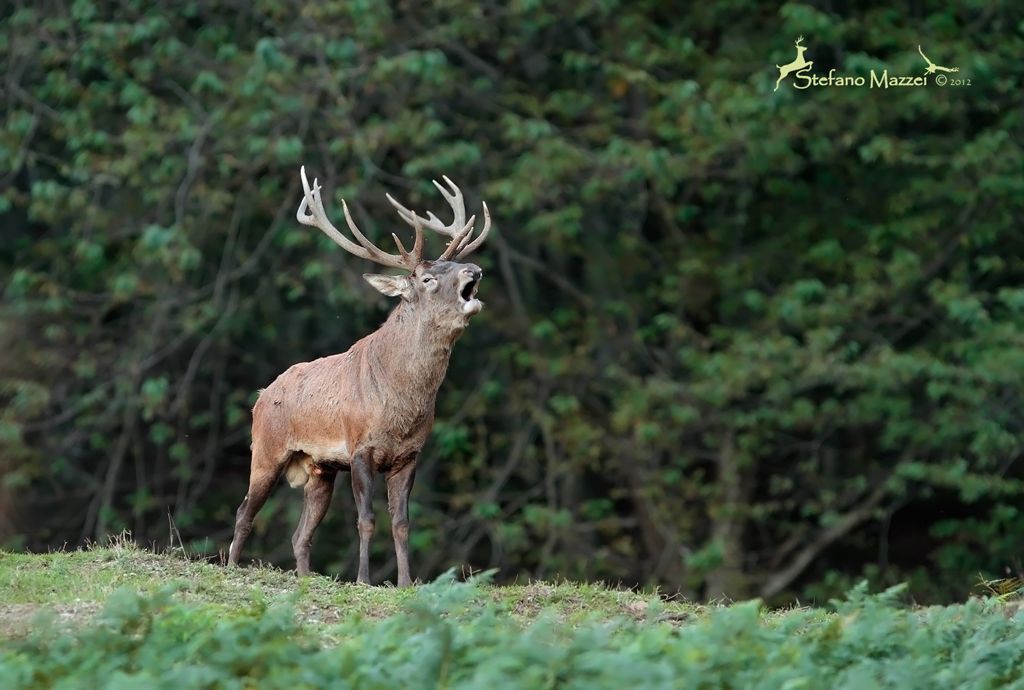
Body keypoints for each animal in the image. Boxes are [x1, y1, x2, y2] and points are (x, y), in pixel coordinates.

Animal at [229, 164, 491, 581]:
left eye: (453, 265)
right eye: (428, 278)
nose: (475, 270)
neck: (400, 406)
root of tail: (261, 396)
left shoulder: (409, 454)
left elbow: (401, 523)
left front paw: (405, 582)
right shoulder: (359, 448)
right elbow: (366, 520)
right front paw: (364, 579)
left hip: (320, 468)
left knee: (300, 535)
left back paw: (305, 577)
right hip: (267, 449)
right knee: (244, 511)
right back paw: (231, 566)